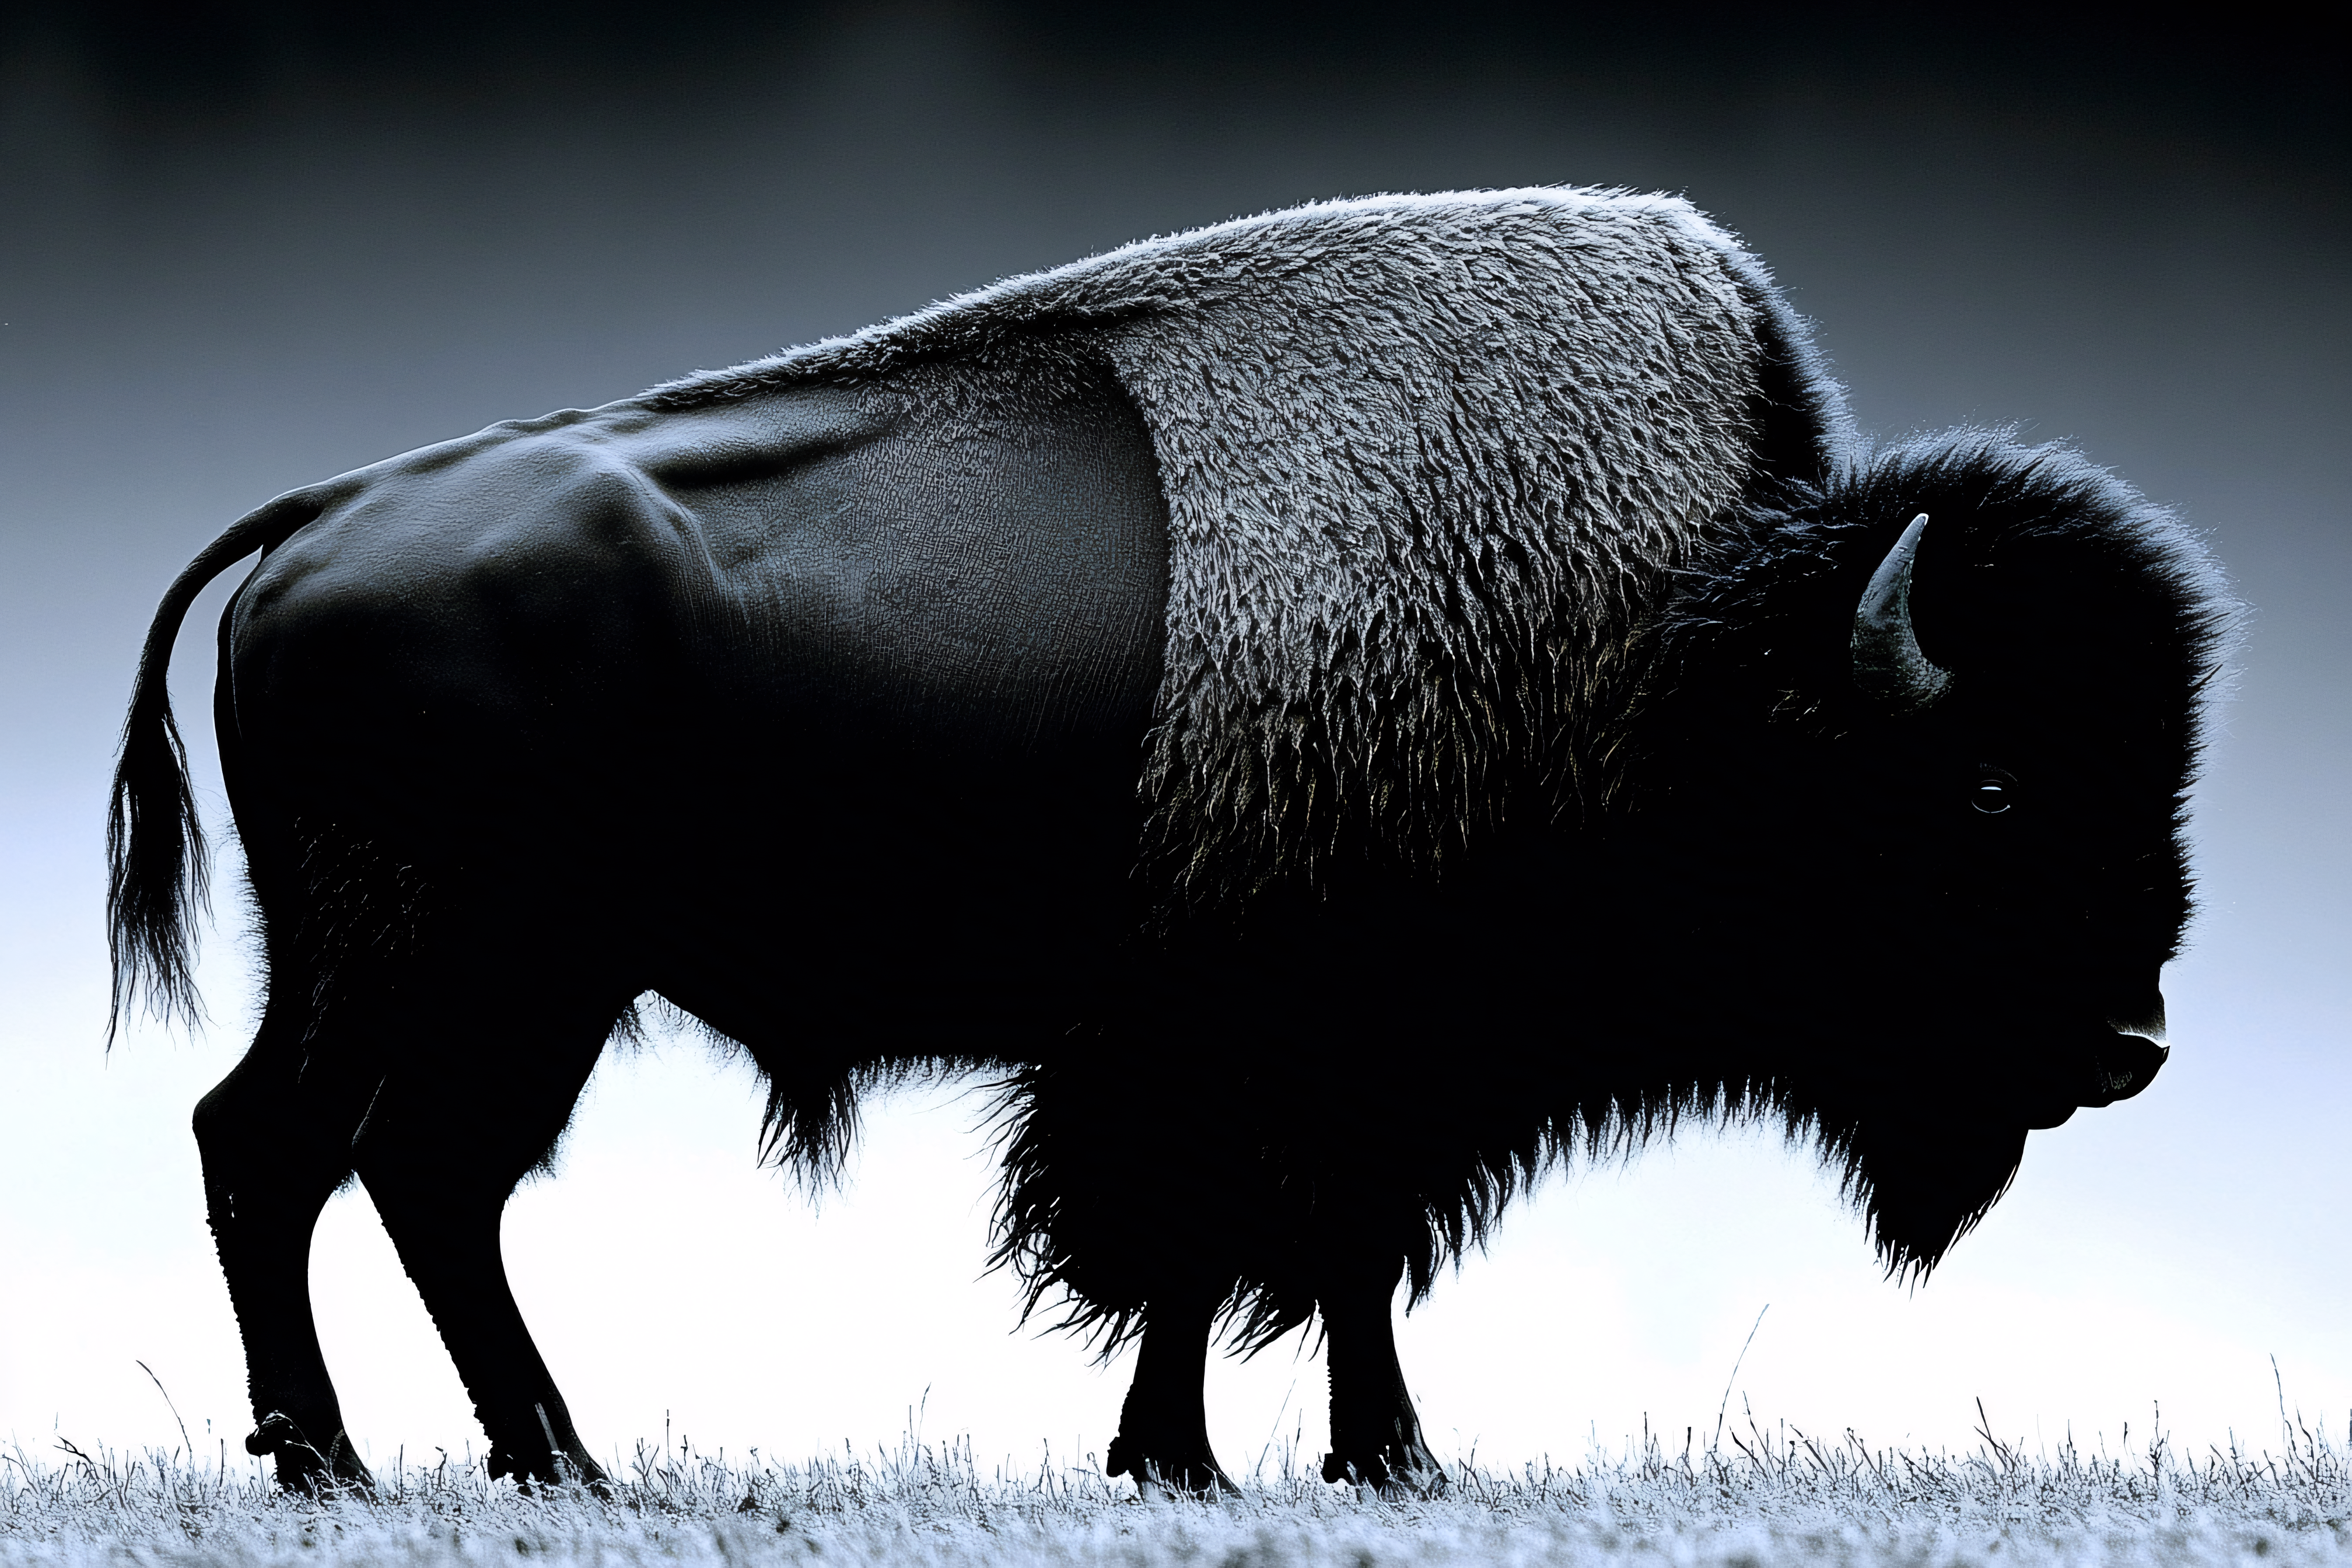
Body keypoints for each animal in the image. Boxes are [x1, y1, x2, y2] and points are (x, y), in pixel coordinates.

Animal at [108, 188, 2228, 1495]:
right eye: (1990, 786)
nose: (2132, 1045)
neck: (1676, 643)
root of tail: (321, 519)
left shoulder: (1328, 1064)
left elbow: (1307, 1254)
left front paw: (1343, 1457)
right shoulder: (1260, 1043)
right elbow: (1222, 1243)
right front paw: (1237, 1456)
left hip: (500, 979)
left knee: (392, 1172)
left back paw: (535, 1459)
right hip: (450, 960)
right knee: (307, 1153)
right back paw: (361, 1461)